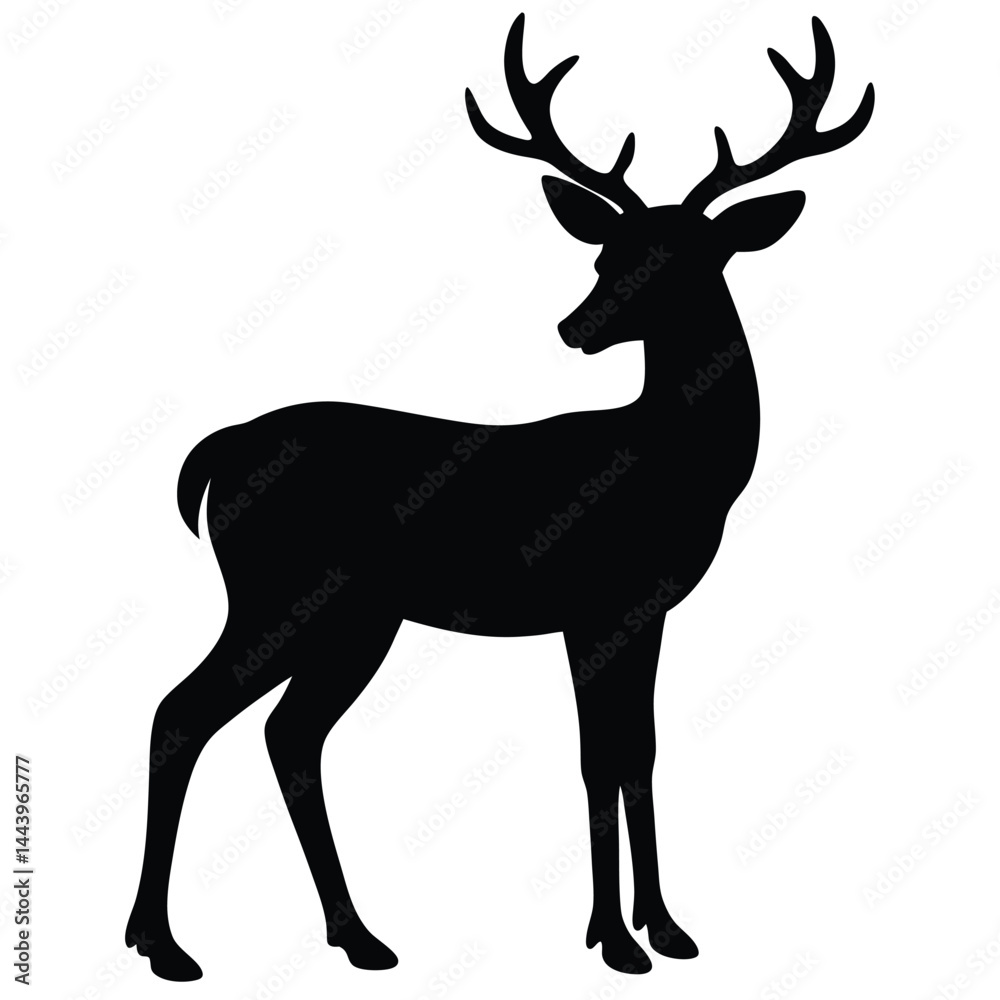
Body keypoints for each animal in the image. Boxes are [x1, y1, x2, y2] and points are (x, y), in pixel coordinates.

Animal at [126, 13, 873, 981]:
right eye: (607, 253)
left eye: (691, 259)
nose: (575, 327)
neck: (677, 470)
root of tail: (216, 454)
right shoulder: (594, 603)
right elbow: (598, 758)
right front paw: (615, 941)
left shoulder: (646, 610)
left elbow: (641, 754)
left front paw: (667, 930)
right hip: (276, 591)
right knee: (183, 712)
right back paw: (164, 944)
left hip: (354, 615)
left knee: (287, 734)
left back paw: (356, 936)